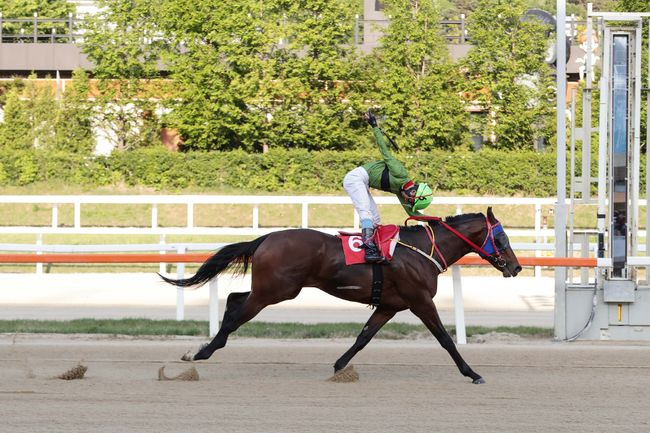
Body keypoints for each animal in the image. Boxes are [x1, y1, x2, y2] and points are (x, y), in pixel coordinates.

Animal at [162, 208, 520, 384]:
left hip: (272, 288)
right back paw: (200, 353)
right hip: (276, 291)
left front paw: (339, 367)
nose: (516, 267)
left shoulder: (389, 306)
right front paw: (472, 373)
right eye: (502, 238)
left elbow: (363, 338)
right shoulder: (420, 301)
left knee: (235, 299)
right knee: (237, 312)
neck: (422, 250)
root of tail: (265, 238)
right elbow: (445, 339)